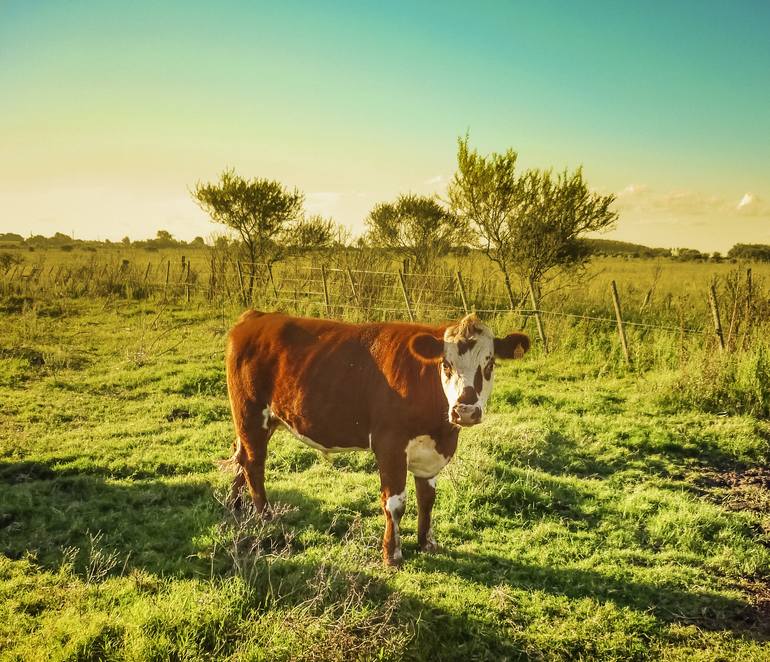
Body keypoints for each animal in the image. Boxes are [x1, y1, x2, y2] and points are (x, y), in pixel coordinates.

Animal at [222, 310, 528, 564]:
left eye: (489, 365)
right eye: (446, 364)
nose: (465, 411)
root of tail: (257, 317)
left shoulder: (429, 453)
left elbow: (427, 499)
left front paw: (426, 543)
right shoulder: (390, 444)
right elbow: (395, 502)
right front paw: (392, 554)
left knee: (241, 456)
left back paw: (236, 506)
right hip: (250, 414)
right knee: (254, 464)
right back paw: (265, 517)